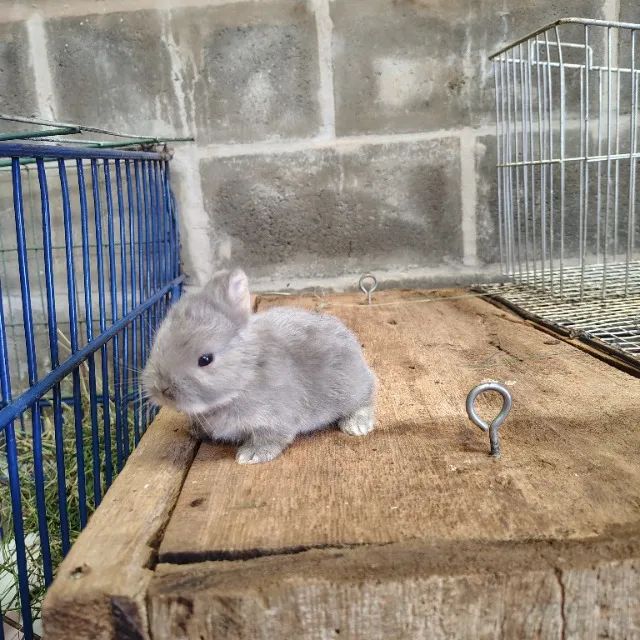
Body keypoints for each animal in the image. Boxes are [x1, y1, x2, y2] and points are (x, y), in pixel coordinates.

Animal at [141, 268, 376, 464]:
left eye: (205, 359)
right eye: (158, 343)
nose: (162, 389)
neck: (246, 376)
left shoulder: (273, 420)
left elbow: (270, 439)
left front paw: (250, 456)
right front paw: (194, 430)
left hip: (351, 389)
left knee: (365, 398)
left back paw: (356, 426)